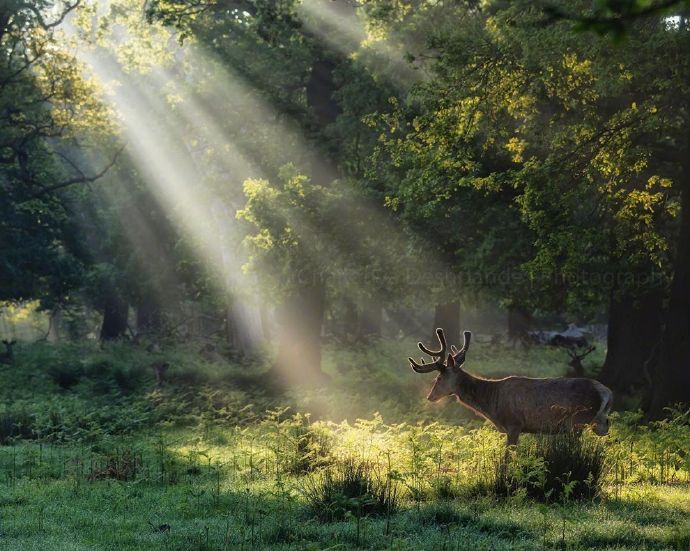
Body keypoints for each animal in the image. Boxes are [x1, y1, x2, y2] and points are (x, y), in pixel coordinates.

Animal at [409, 328, 613, 446]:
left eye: (438, 377)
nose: (430, 397)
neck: (492, 403)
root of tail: (606, 392)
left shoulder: (514, 423)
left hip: (578, 420)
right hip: (594, 423)